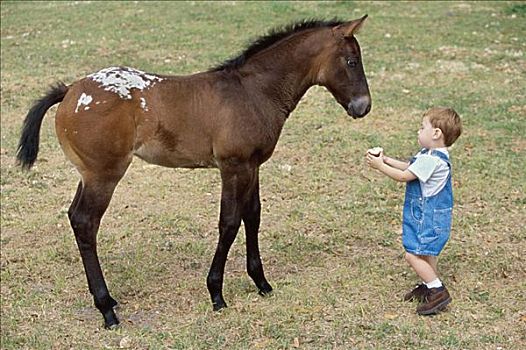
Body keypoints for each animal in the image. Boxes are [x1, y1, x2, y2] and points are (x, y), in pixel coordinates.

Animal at [16, 16, 372, 328]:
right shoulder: (233, 167)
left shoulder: (252, 166)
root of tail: (70, 91)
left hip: (88, 174)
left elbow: (252, 216)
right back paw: (106, 309)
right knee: (85, 222)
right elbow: (229, 223)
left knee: (74, 217)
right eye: (351, 61)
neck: (253, 92)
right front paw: (216, 293)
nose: (363, 106)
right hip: (104, 175)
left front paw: (261, 282)